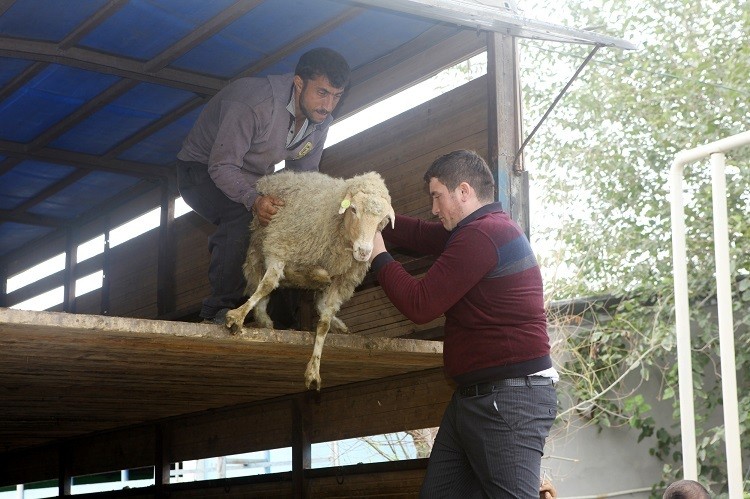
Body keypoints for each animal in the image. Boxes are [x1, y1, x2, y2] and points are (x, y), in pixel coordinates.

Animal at [226, 171, 396, 390]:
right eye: (353, 209)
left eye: (383, 219)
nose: (365, 252)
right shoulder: (280, 246)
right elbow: (268, 284)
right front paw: (237, 316)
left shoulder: (341, 281)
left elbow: (323, 322)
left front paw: (314, 370)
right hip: (257, 248)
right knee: (258, 283)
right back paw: (264, 318)